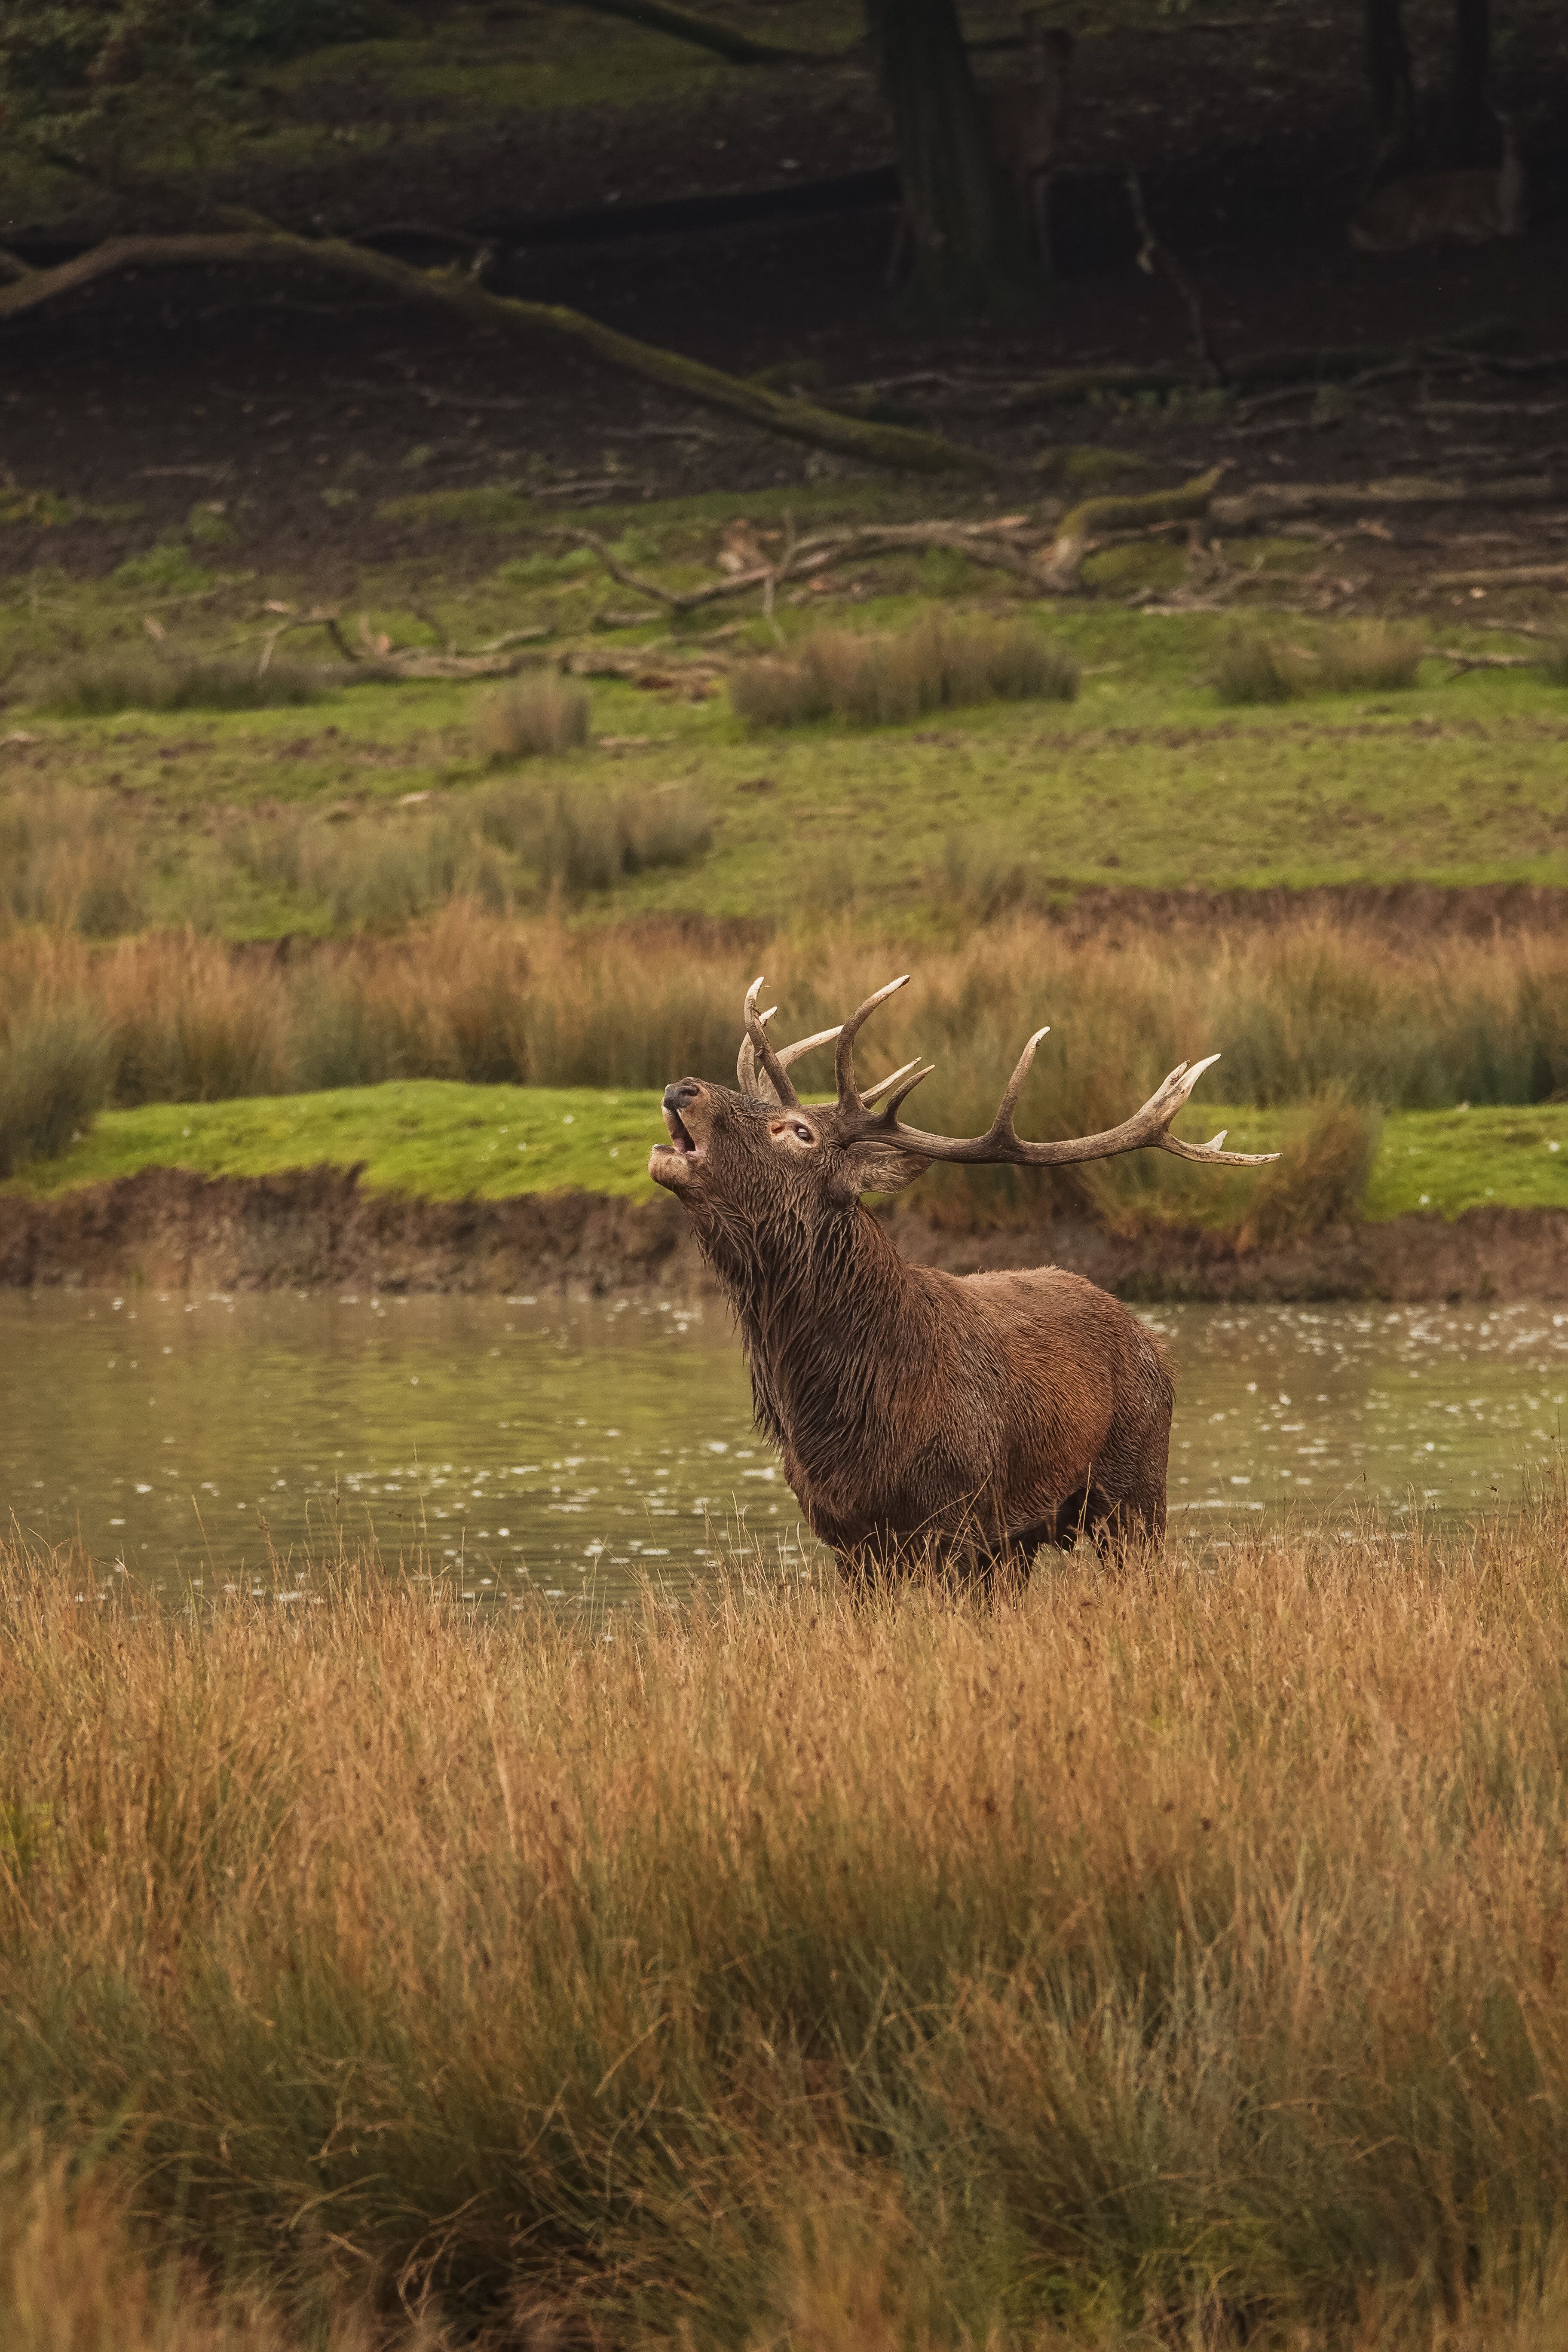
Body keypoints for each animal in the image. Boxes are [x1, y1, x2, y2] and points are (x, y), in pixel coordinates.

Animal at [649, 974, 1277, 1579]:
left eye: (800, 1132)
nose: (683, 1088)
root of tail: (1152, 1340)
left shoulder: (957, 1519)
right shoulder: (845, 1535)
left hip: (1134, 1487)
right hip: (1022, 1538)